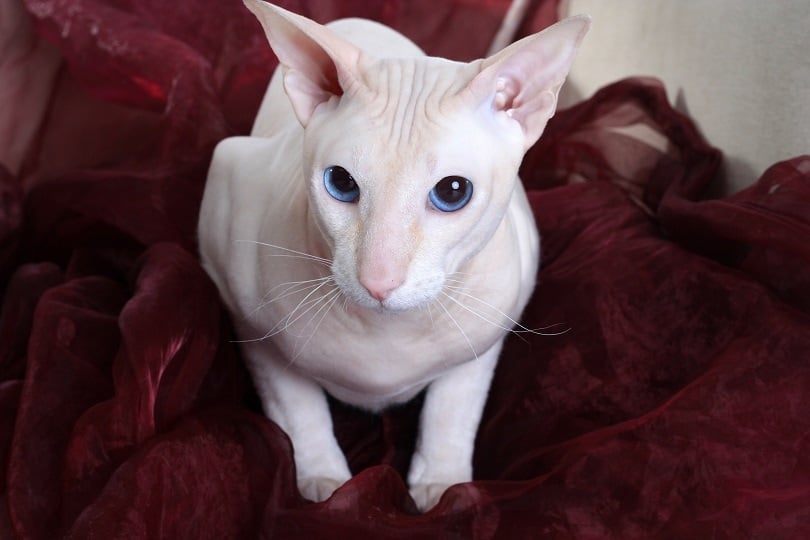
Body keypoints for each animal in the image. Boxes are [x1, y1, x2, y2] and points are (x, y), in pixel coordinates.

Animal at [197, 0, 588, 512]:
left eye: (453, 192)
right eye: (341, 183)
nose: (378, 281)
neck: (386, 336)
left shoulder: (486, 339)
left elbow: (451, 410)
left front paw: (443, 486)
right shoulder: (250, 325)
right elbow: (298, 409)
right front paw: (326, 485)